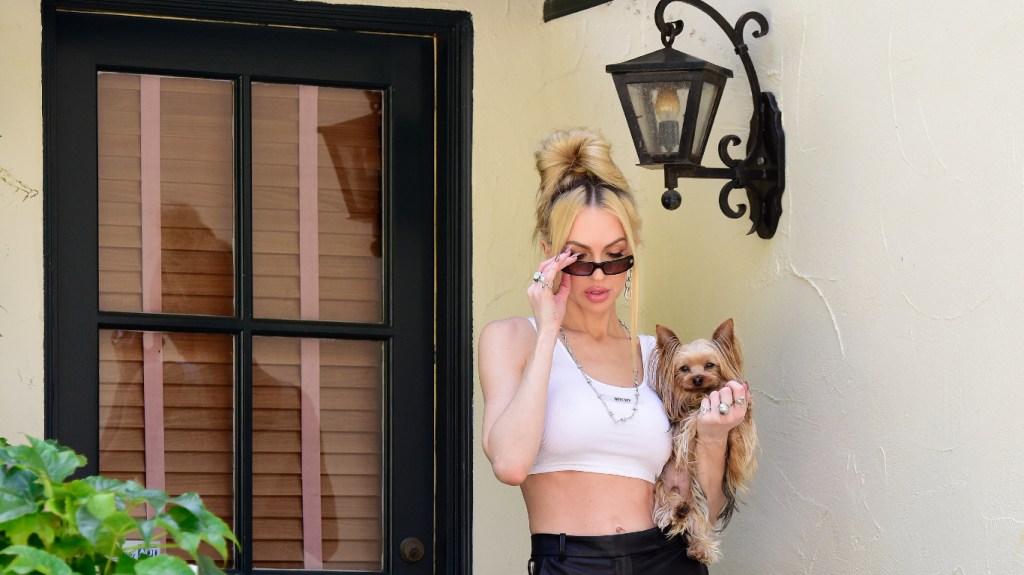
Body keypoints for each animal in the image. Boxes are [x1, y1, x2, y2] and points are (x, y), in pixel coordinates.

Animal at [651, 317, 757, 564]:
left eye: (710, 365)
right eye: (684, 368)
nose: (697, 378)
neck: (699, 396)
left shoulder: (738, 430)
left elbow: (739, 436)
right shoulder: (684, 418)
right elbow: (691, 420)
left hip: (698, 497)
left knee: (697, 521)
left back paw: (700, 546)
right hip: (663, 487)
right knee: (668, 507)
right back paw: (676, 513)